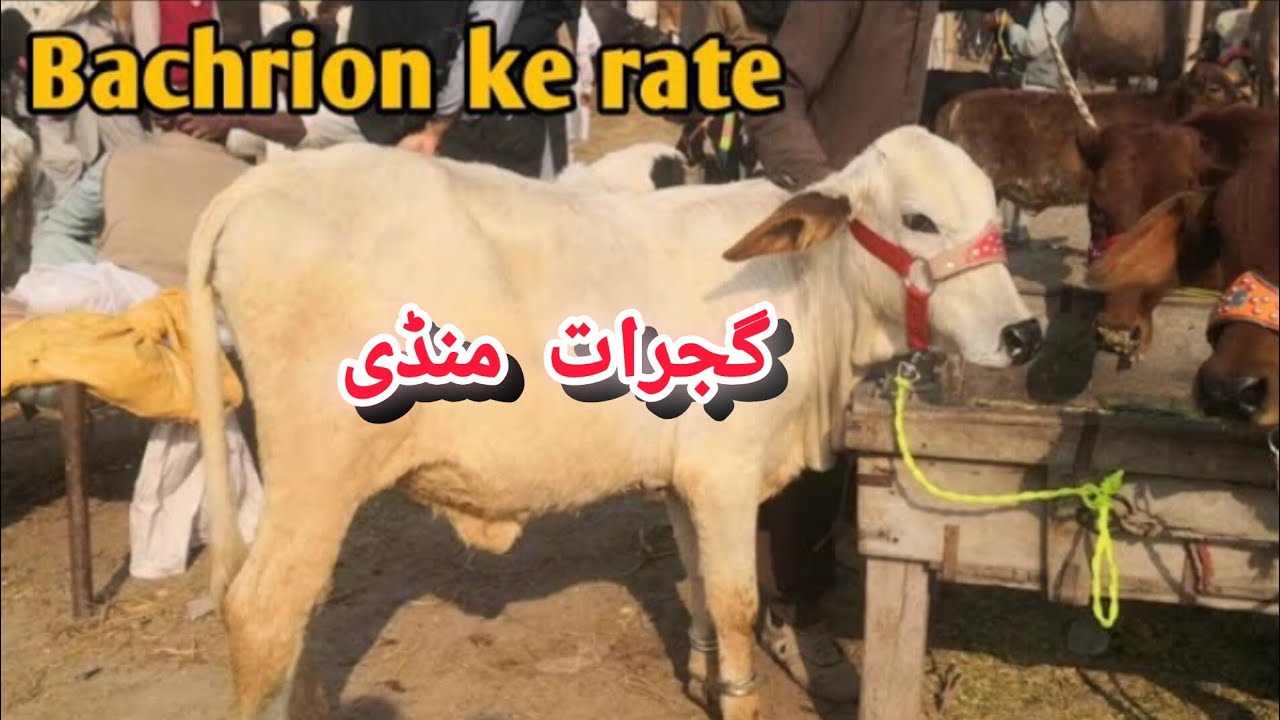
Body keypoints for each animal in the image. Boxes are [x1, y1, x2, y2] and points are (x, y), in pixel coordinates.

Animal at [186, 126, 1041, 720]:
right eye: (919, 219)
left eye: (989, 210)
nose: (1022, 334)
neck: (807, 287)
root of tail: (265, 183)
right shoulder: (726, 474)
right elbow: (736, 602)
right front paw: (738, 696)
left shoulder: (683, 482)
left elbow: (700, 590)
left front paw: (700, 677)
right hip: (319, 470)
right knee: (262, 610)